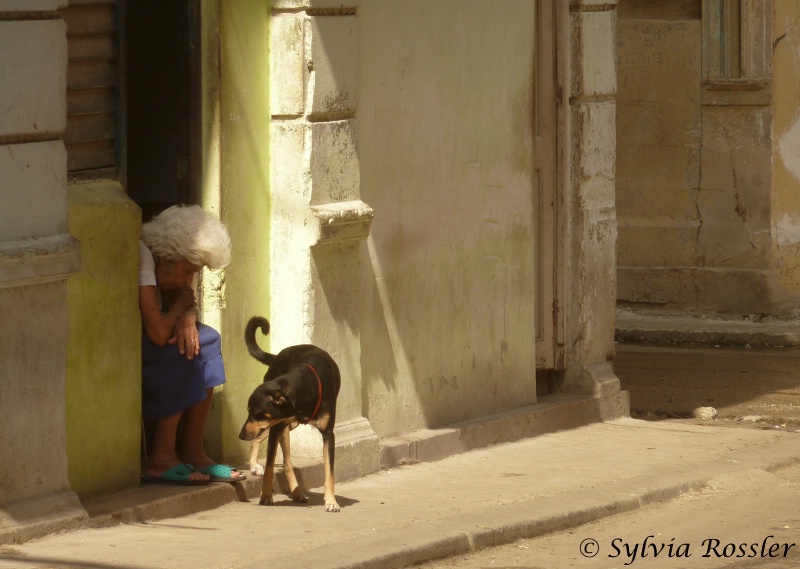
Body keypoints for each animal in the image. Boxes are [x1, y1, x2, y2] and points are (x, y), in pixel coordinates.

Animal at [234, 318, 340, 512]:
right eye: (249, 411)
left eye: (255, 413)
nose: (241, 435)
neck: (305, 385)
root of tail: (277, 356)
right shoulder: (275, 426)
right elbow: (269, 467)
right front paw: (265, 495)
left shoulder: (328, 435)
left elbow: (329, 472)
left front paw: (331, 501)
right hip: (280, 426)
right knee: (274, 452)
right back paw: (255, 466)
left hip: (287, 425)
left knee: (283, 460)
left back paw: (297, 492)